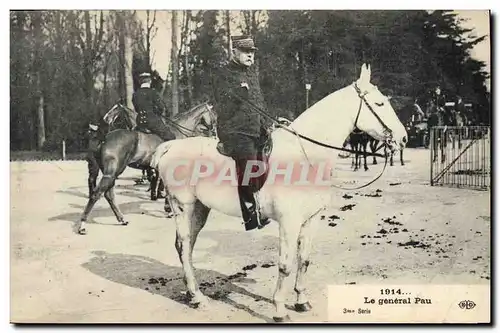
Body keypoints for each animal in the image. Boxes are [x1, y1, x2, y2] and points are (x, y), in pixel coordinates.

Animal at [78, 101, 215, 233]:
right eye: (214, 116)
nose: (214, 134)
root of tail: (103, 138)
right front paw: (169, 209)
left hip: (112, 172)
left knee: (108, 194)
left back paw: (122, 219)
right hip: (112, 172)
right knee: (96, 194)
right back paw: (82, 225)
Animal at [151, 63, 406, 320]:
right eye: (380, 103)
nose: (403, 138)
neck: (305, 155)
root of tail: (170, 146)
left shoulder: (312, 219)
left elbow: (304, 260)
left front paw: (301, 301)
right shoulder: (289, 222)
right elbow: (285, 265)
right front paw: (280, 310)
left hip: (200, 209)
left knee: (187, 246)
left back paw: (191, 292)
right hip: (183, 206)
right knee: (184, 245)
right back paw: (197, 297)